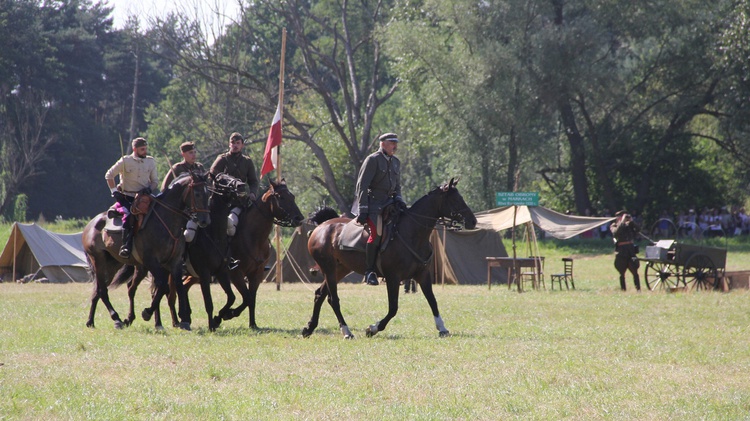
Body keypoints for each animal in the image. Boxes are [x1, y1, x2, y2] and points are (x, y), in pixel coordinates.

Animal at [83, 172, 210, 330]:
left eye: (208, 193)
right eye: (197, 193)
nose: (205, 221)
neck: (167, 222)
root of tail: (91, 224)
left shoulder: (174, 262)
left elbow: (178, 287)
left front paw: (184, 320)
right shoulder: (152, 262)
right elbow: (163, 286)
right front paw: (147, 313)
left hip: (112, 264)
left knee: (98, 291)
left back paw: (91, 321)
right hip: (98, 261)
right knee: (102, 291)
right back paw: (116, 319)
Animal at [173, 177, 306, 328]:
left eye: (292, 196)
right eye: (281, 197)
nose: (299, 218)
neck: (253, 237)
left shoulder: (256, 274)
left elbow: (251, 299)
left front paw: (252, 324)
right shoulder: (236, 273)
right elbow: (246, 297)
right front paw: (226, 315)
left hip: (197, 273)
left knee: (184, 286)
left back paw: (186, 317)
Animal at [300, 177, 476, 338]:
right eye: (455, 199)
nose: (473, 221)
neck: (412, 233)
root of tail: (321, 227)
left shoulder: (423, 275)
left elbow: (432, 301)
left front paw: (442, 328)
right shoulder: (393, 278)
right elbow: (393, 308)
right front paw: (373, 328)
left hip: (340, 269)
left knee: (320, 295)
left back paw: (309, 328)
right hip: (329, 269)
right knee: (333, 299)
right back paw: (346, 331)